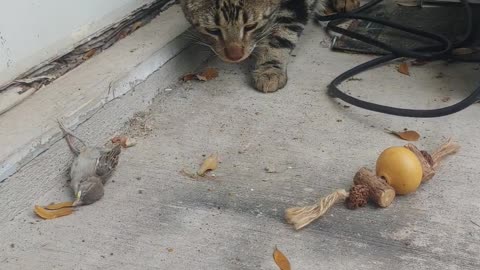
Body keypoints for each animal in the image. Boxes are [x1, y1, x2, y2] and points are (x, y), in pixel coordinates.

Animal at [181, 0, 360, 92]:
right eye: (213, 30)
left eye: (250, 26)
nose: (235, 56)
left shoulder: (295, 6)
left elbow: (281, 35)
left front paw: (270, 69)